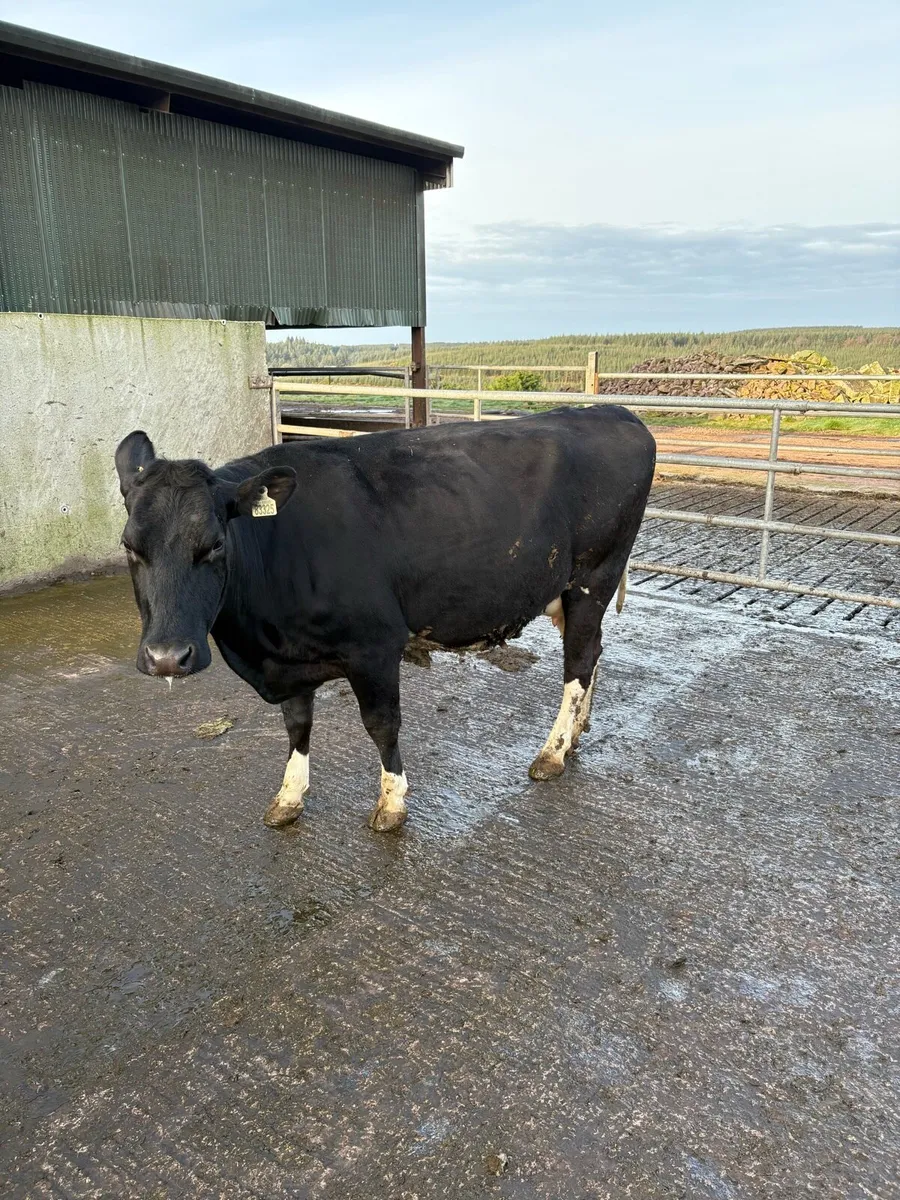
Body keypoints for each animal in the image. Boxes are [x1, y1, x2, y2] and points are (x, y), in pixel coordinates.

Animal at [115, 406, 655, 832]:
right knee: (592, 653)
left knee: (578, 662)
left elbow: (382, 725)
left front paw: (392, 802)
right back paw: (577, 734)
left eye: (215, 544)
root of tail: (613, 413)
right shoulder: (289, 657)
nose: (167, 657)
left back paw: (552, 753)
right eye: (129, 546)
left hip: (593, 577)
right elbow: (296, 725)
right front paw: (289, 795)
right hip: (566, 592)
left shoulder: (374, 646)